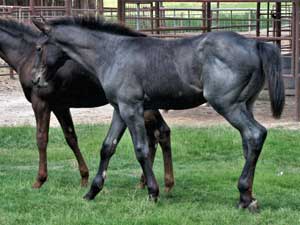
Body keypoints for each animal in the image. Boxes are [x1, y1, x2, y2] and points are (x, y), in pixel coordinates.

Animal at [0, 18, 173, 192]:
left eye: (39, 48)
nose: (36, 78)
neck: (25, 55)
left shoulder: (41, 103)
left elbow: (41, 139)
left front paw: (39, 180)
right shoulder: (60, 106)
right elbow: (71, 137)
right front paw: (84, 177)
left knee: (158, 134)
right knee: (159, 133)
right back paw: (153, 183)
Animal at [32, 16, 284, 212]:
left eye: (39, 48)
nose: (36, 79)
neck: (112, 54)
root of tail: (255, 44)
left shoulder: (131, 108)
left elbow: (141, 150)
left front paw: (153, 193)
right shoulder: (120, 110)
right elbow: (107, 147)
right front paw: (92, 192)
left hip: (227, 104)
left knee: (256, 134)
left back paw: (244, 194)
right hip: (246, 104)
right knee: (248, 142)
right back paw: (248, 198)